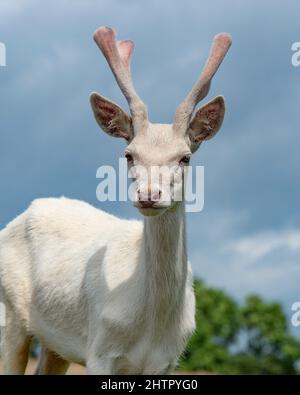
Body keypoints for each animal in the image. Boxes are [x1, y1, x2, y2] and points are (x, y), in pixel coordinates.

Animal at [0, 27, 232, 374]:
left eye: (185, 157)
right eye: (129, 154)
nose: (149, 195)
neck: (151, 327)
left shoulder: (167, 362)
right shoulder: (100, 350)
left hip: (56, 345)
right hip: (9, 314)